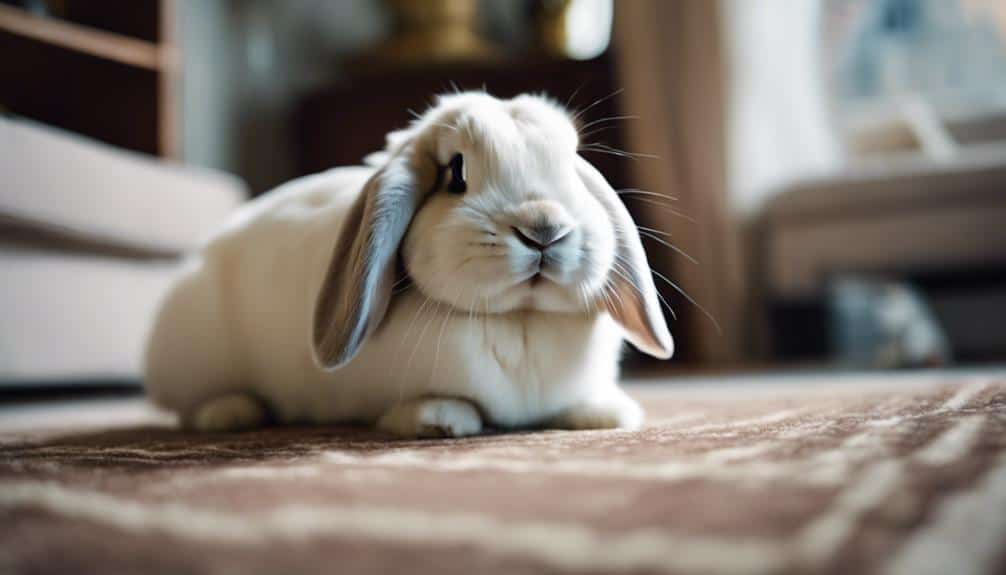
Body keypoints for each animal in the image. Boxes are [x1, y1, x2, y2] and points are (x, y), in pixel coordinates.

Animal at [144, 91, 673, 438]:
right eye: (456, 173)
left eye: (572, 164)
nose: (544, 228)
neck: (520, 319)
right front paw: (437, 419)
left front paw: (608, 415)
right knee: (189, 408)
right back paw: (229, 413)